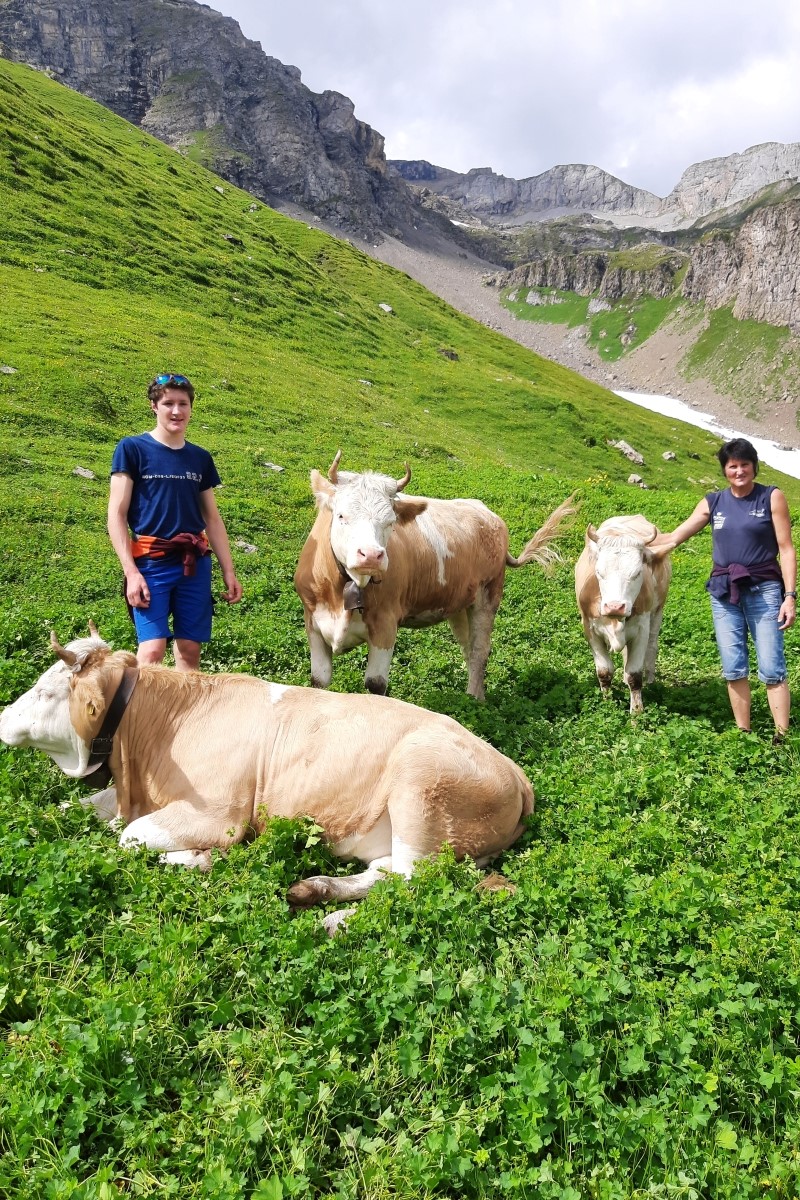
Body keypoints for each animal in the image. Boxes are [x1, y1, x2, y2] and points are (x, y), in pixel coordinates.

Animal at [1, 633, 537, 902]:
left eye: (46, 692)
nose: (3, 718)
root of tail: (515, 771)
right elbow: (75, 807)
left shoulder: (219, 814)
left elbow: (131, 837)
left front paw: (200, 859)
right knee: (386, 871)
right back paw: (314, 888)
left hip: (420, 789)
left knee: (408, 880)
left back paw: (331, 915)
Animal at [293, 451, 575, 700]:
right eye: (341, 515)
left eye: (390, 522)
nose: (371, 555)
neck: (343, 589)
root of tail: (486, 512)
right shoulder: (313, 621)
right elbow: (318, 681)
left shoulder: (386, 622)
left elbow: (375, 684)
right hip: (459, 604)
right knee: (469, 648)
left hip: (489, 595)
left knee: (480, 650)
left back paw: (474, 700)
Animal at [575, 513, 676, 710]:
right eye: (599, 572)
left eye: (637, 573)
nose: (614, 606)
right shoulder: (590, 628)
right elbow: (604, 671)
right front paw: (606, 704)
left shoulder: (642, 629)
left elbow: (634, 675)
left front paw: (637, 712)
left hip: (658, 611)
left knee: (652, 646)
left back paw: (651, 681)